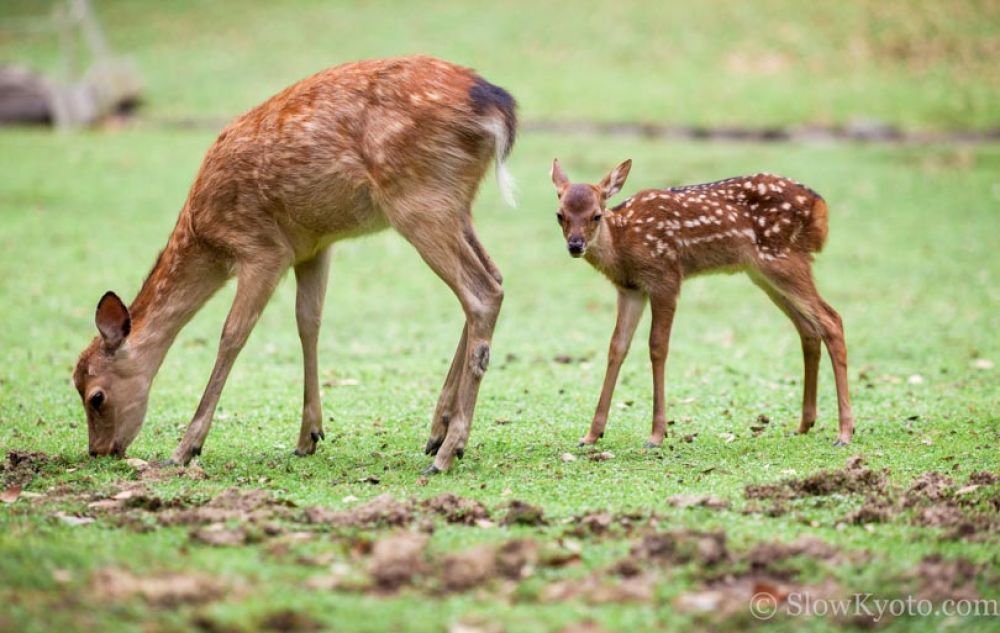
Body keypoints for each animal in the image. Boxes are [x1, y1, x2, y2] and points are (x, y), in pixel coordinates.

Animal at [74, 58, 520, 474]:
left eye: (96, 396)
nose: (99, 450)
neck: (206, 234)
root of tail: (497, 106)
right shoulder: (312, 246)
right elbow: (309, 321)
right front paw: (309, 436)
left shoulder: (262, 249)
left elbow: (232, 334)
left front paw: (185, 449)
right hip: (454, 204)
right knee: (494, 277)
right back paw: (437, 432)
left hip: (418, 200)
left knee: (482, 291)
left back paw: (447, 452)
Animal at [552, 160, 856, 446]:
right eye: (559, 215)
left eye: (596, 215)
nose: (575, 245)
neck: (622, 245)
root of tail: (820, 207)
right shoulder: (630, 289)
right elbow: (617, 347)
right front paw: (591, 434)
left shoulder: (666, 277)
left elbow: (657, 347)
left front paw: (657, 435)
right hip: (763, 273)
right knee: (808, 329)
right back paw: (805, 424)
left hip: (783, 259)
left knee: (832, 320)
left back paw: (844, 432)